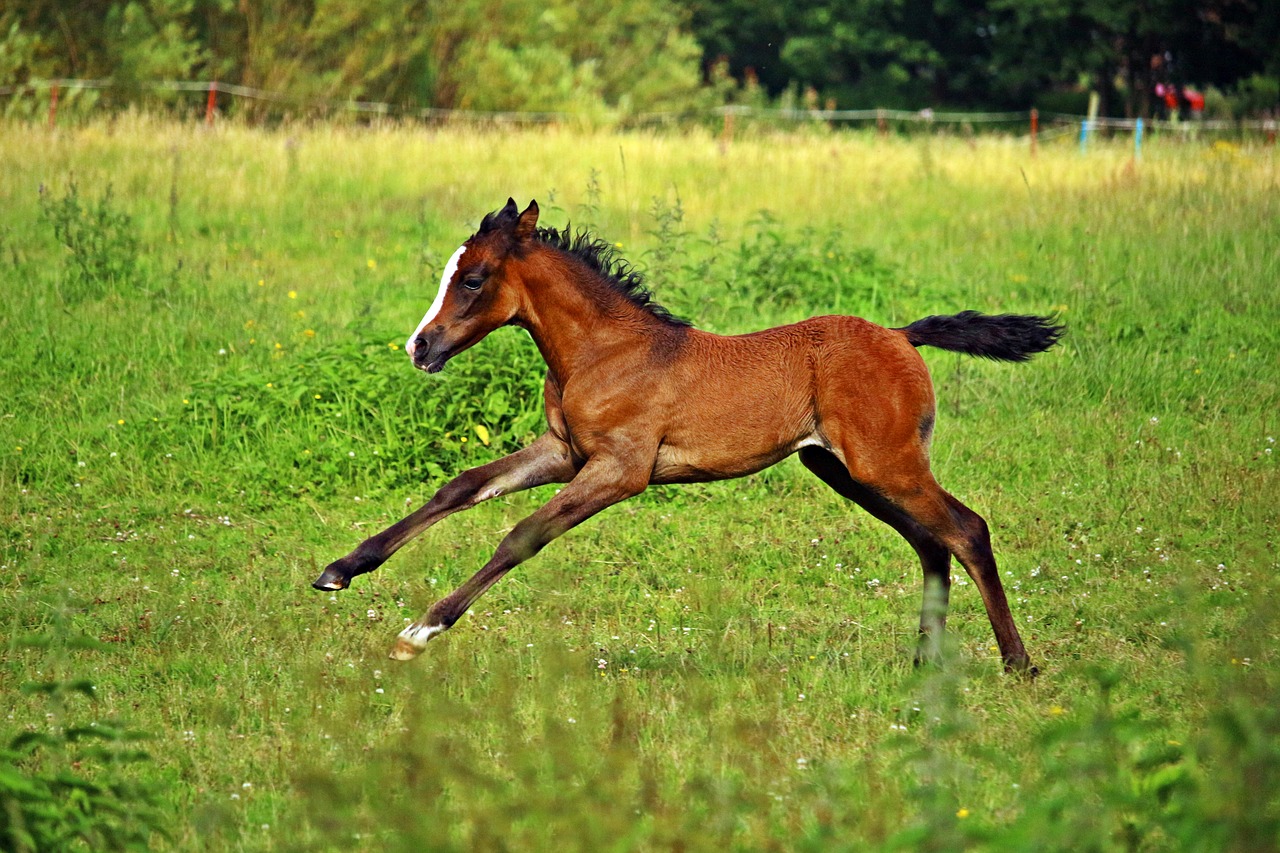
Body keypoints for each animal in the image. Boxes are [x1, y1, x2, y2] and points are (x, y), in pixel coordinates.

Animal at [314, 199, 1064, 671]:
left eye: (472, 278)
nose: (420, 347)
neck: (606, 351)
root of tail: (901, 336)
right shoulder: (564, 453)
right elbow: (462, 486)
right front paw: (339, 571)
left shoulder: (620, 471)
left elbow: (521, 535)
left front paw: (420, 630)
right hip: (848, 471)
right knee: (931, 543)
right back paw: (923, 662)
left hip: (887, 465)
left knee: (967, 530)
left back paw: (1018, 662)